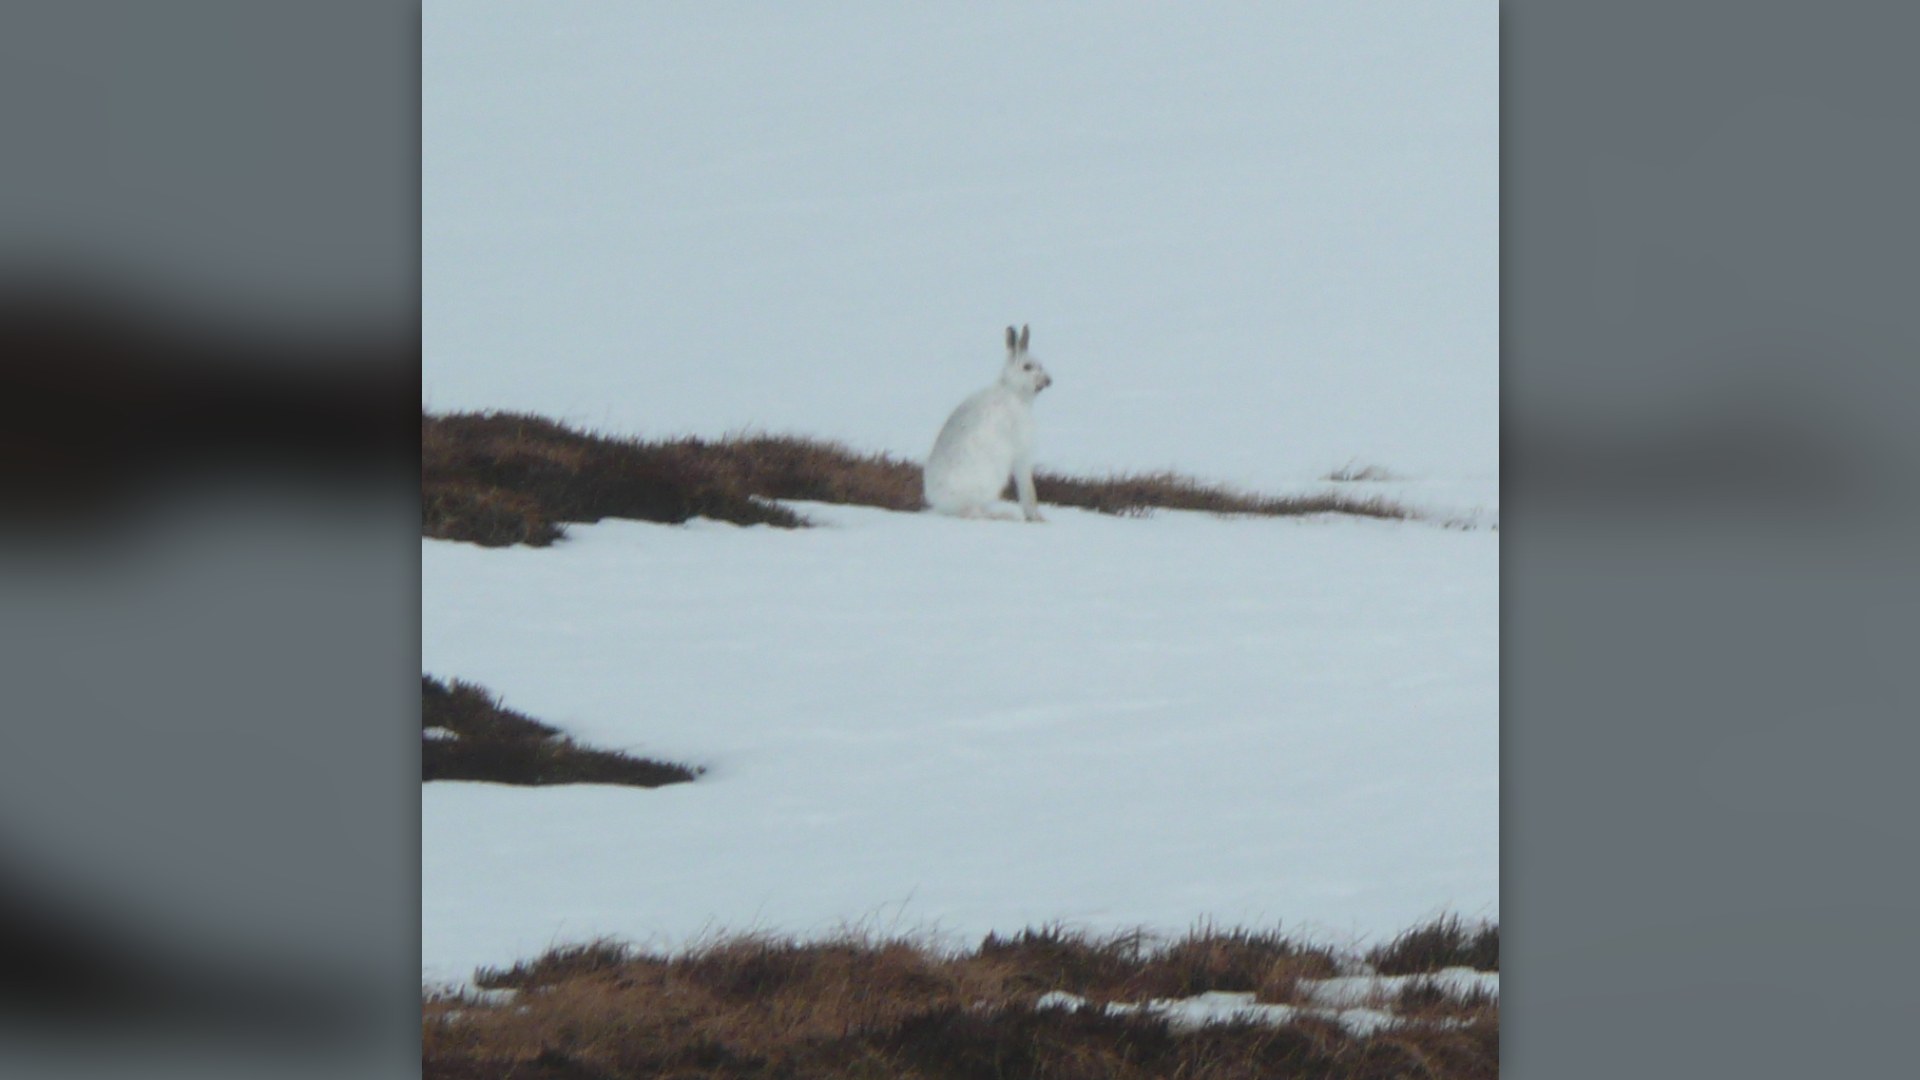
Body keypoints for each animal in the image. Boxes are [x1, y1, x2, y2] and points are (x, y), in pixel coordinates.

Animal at [923, 324, 1054, 522]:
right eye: (1027, 367)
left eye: (1041, 365)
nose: (1048, 381)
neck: (1013, 391)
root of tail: (942, 503)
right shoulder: (1022, 449)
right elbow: (1027, 488)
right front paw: (1037, 518)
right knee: (973, 513)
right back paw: (1004, 515)